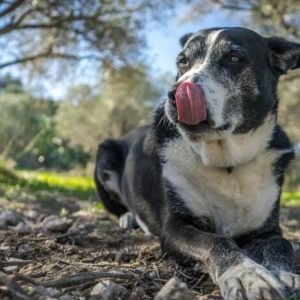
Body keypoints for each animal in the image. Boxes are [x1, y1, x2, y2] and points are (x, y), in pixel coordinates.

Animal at [94, 27, 300, 298]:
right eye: (183, 61)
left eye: (234, 57)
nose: (174, 95)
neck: (226, 163)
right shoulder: (175, 226)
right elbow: (216, 241)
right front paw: (245, 274)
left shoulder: (267, 228)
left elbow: (281, 242)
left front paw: (286, 273)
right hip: (104, 155)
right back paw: (128, 218)